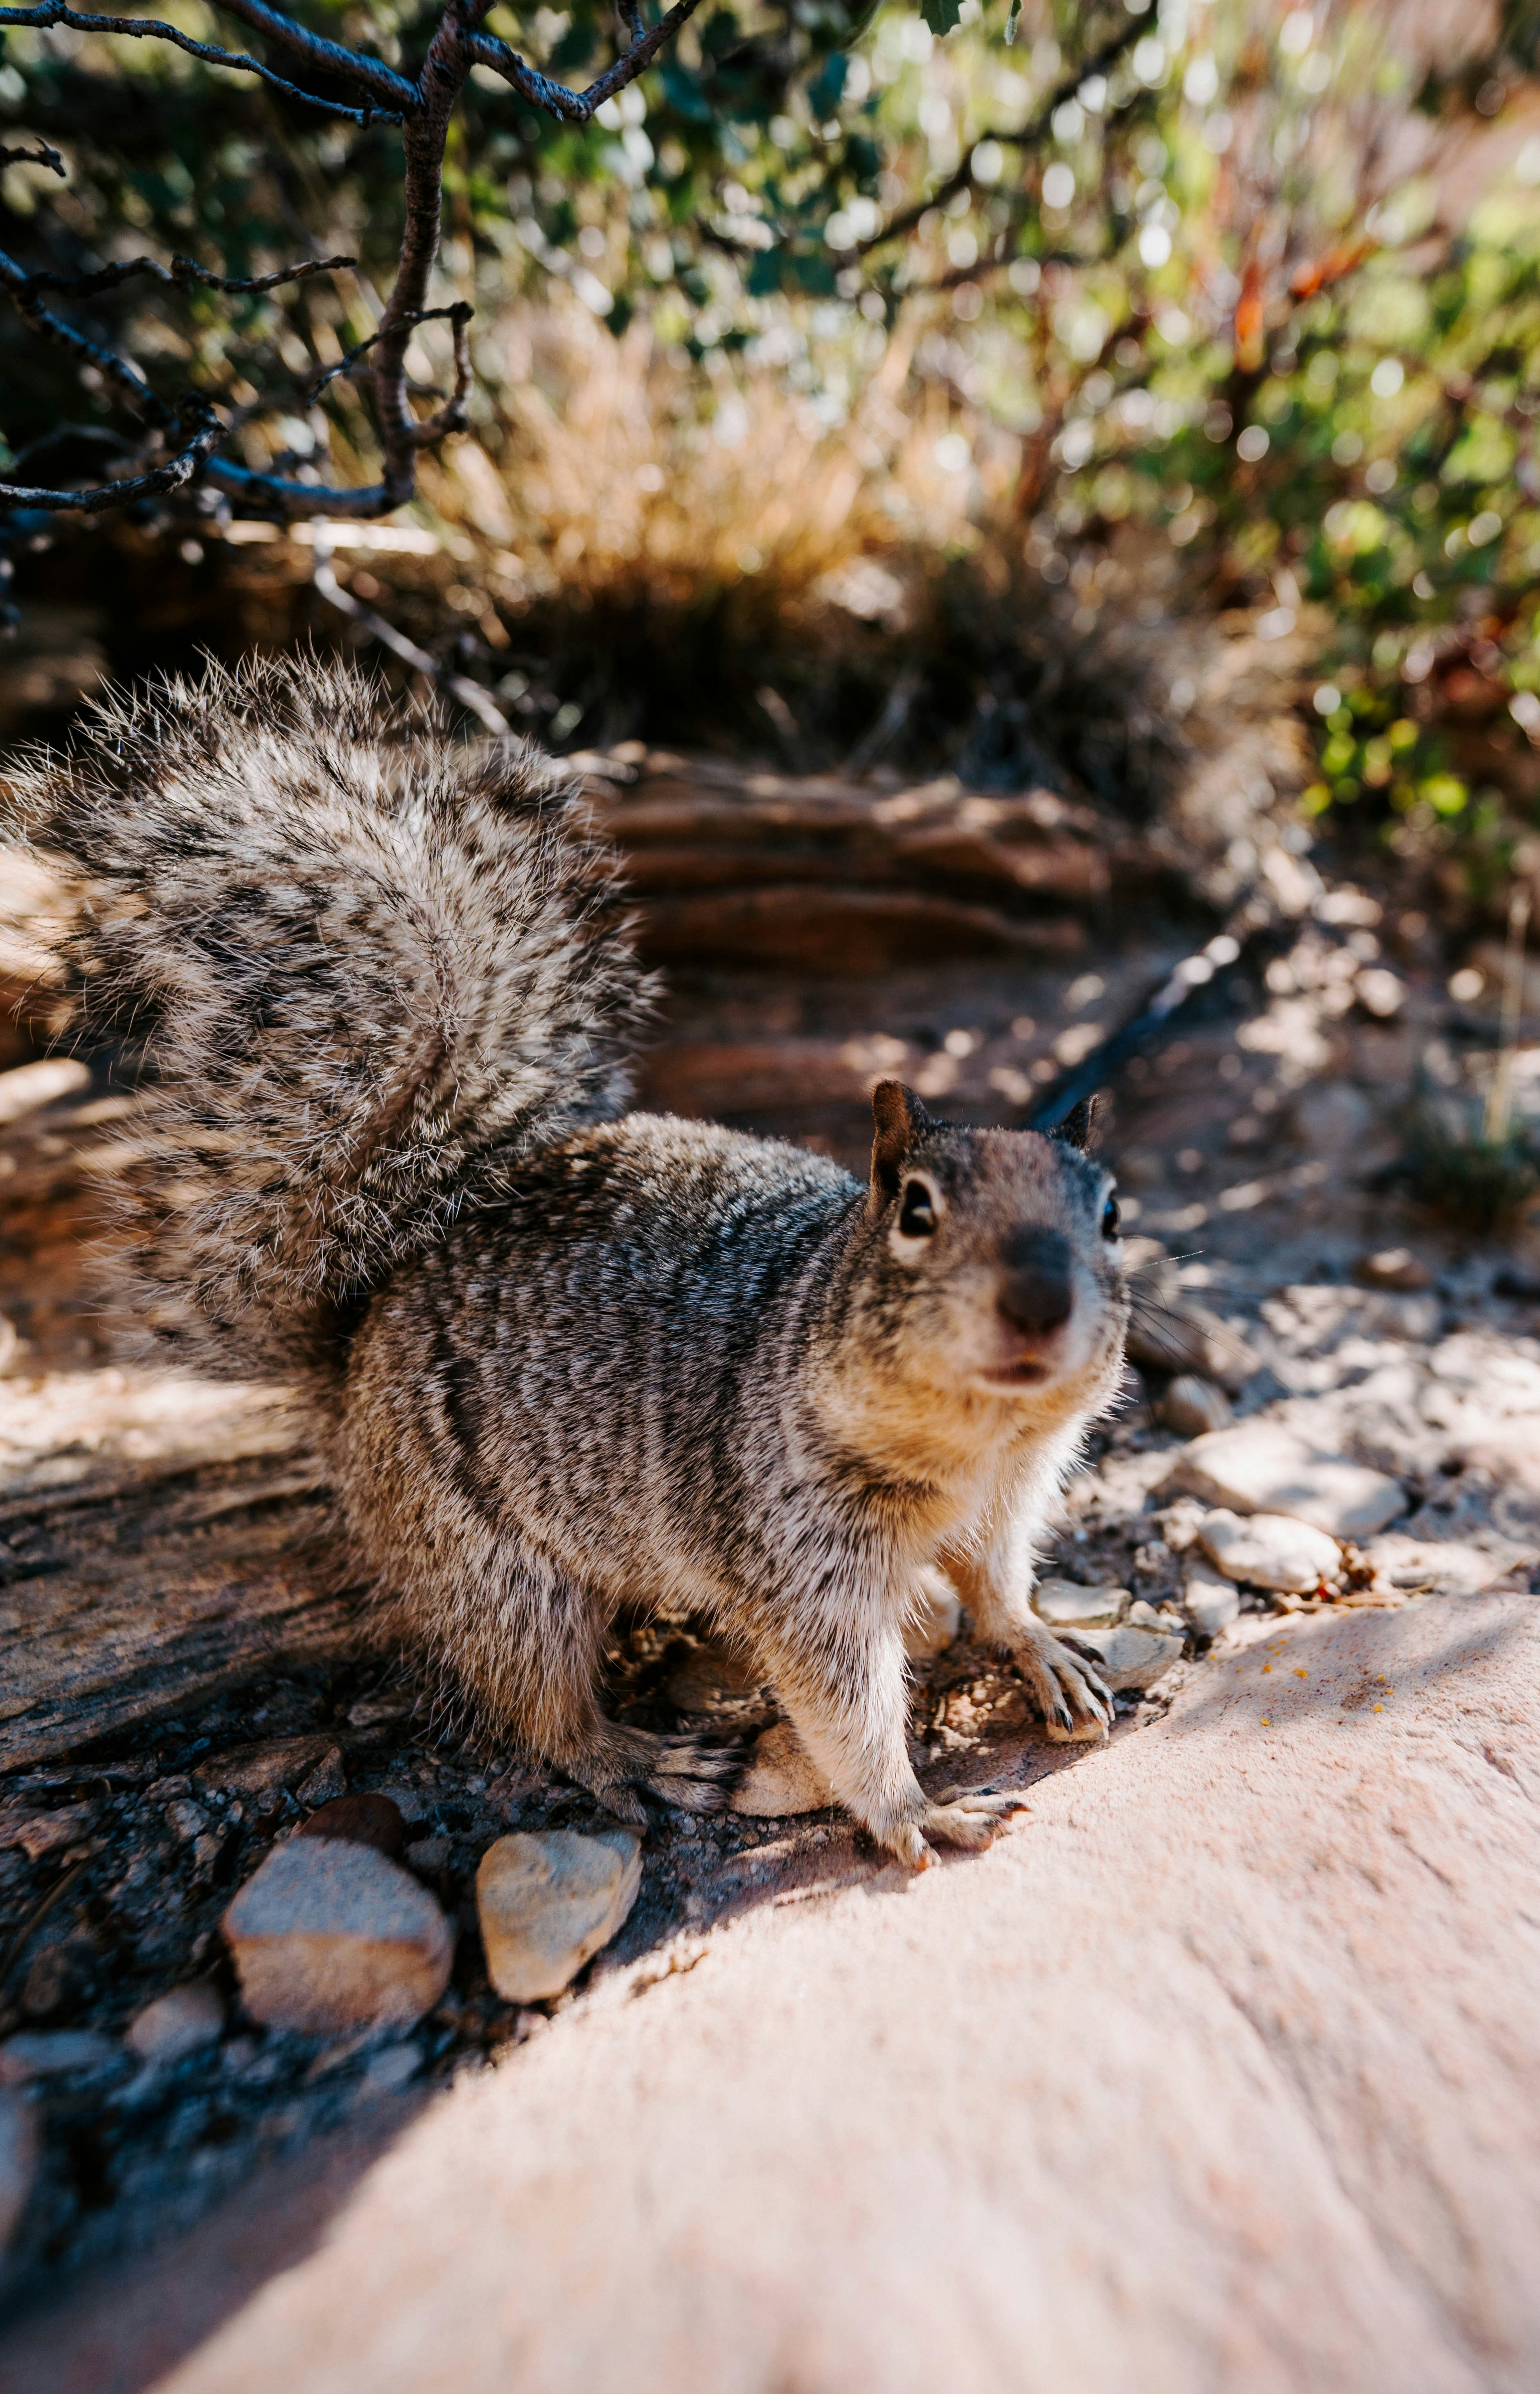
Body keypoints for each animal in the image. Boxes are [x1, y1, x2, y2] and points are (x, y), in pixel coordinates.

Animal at [9, 652, 1130, 1868]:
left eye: (1113, 1212)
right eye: (915, 1211)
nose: (1038, 1303)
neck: (973, 1443)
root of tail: (354, 1346)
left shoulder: (1011, 1494)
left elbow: (998, 1580)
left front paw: (1036, 1641)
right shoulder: (793, 1551)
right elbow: (839, 1700)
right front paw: (914, 1809)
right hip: (499, 1576)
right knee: (540, 1712)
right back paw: (634, 1754)